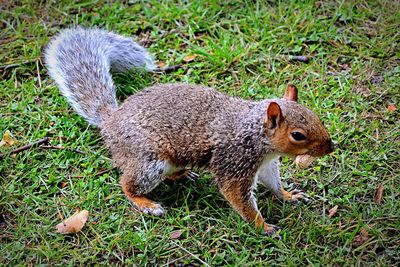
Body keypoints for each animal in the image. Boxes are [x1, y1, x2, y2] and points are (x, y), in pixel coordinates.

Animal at [44, 27, 334, 237]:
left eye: (316, 116)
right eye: (298, 135)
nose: (331, 147)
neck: (256, 134)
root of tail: (111, 121)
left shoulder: (265, 164)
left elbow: (273, 182)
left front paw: (288, 195)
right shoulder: (234, 163)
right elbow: (238, 198)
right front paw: (263, 226)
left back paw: (183, 174)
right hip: (149, 161)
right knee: (127, 184)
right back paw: (146, 204)